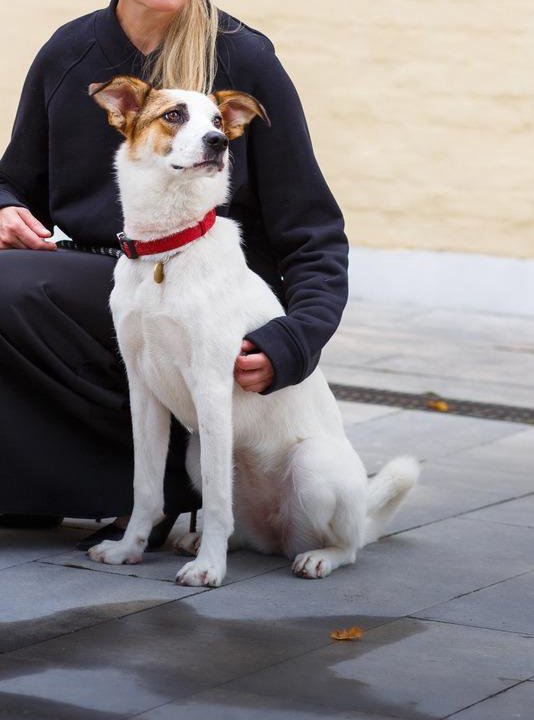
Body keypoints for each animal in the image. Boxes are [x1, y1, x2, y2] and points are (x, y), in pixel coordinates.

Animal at [88, 77, 420, 584]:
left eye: (217, 121)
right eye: (174, 115)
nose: (218, 143)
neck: (167, 252)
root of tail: (277, 535)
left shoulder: (210, 386)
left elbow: (216, 503)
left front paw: (209, 569)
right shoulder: (143, 390)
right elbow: (145, 487)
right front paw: (129, 549)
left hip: (310, 466)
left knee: (349, 544)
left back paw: (317, 557)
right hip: (197, 453)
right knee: (238, 526)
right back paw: (201, 541)